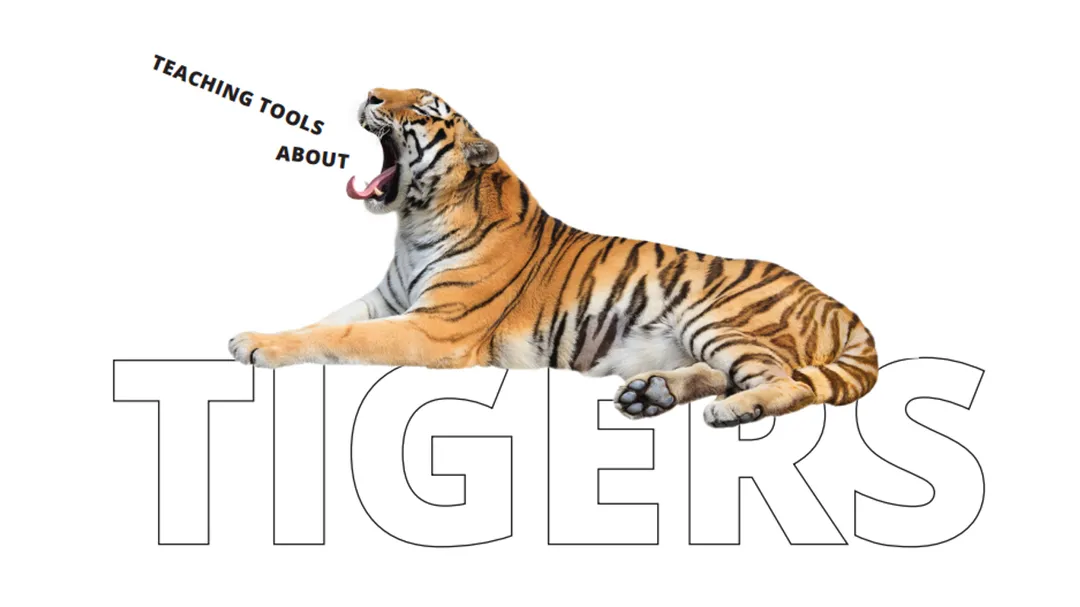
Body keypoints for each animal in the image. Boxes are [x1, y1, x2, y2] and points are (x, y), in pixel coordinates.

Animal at [228, 88, 878, 428]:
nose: (370, 94)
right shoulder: (386, 300)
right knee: (733, 372)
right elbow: (324, 322)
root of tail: (837, 303)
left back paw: (733, 411)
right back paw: (652, 394)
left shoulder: (435, 328)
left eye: (425, 110)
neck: (413, 222)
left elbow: (341, 338)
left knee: (787, 382)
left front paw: (254, 345)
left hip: (718, 317)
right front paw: (263, 335)